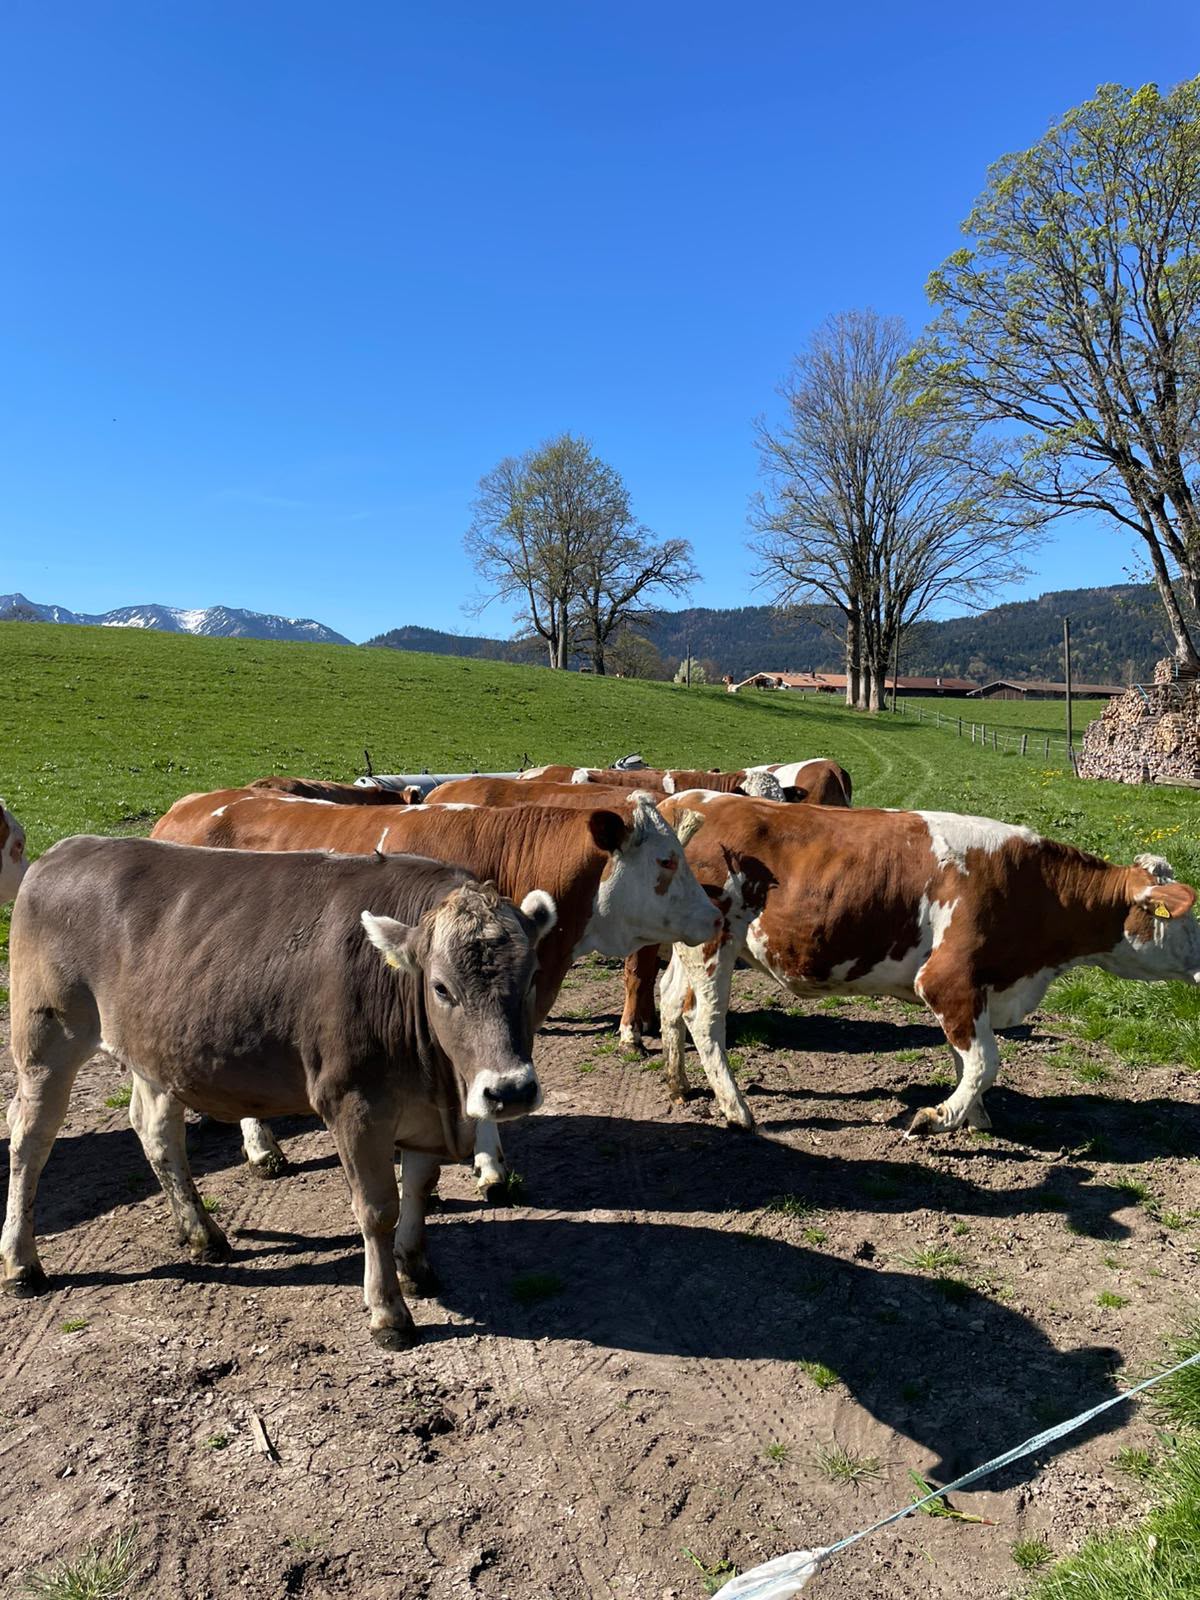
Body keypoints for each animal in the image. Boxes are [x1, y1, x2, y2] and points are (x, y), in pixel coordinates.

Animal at [1, 836, 557, 1348]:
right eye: (441, 987)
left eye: (532, 976)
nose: (509, 1091)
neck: (442, 1085)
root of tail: (66, 850)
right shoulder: (353, 1103)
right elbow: (378, 1208)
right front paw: (387, 1312)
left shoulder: (423, 1110)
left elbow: (418, 1190)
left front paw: (415, 1268)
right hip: (45, 1037)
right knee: (30, 1142)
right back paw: (22, 1264)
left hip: (154, 1048)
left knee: (156, 1132)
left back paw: (202, 1235)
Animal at [645, 792, 1200, 1134]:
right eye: (1187, 918)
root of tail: (687, 798)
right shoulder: (946, 979)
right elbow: (986, 1060)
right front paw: (938, 1117)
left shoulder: (974, 989)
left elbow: (966, 1057)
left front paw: (974, 1115)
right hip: (716, 943)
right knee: (704, 1018)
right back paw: (736, 1109)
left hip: (688, 946)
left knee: (670, 999)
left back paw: (679, 1085)